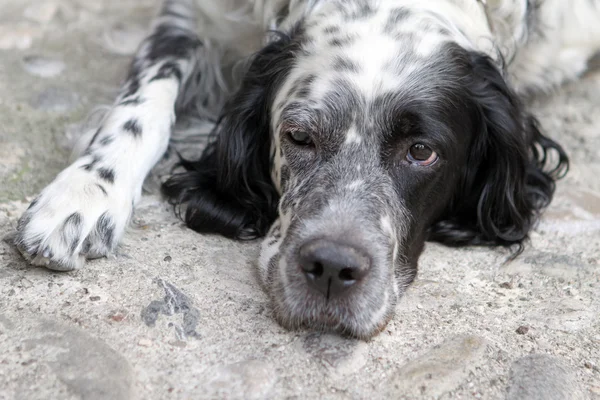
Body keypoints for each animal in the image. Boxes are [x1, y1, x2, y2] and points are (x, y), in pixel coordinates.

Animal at [14, 0, 600, 338]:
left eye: (421, 151)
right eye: (298, 136)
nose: (333, 269)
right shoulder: (188, 17)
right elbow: (146, 101)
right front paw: (85, 192)